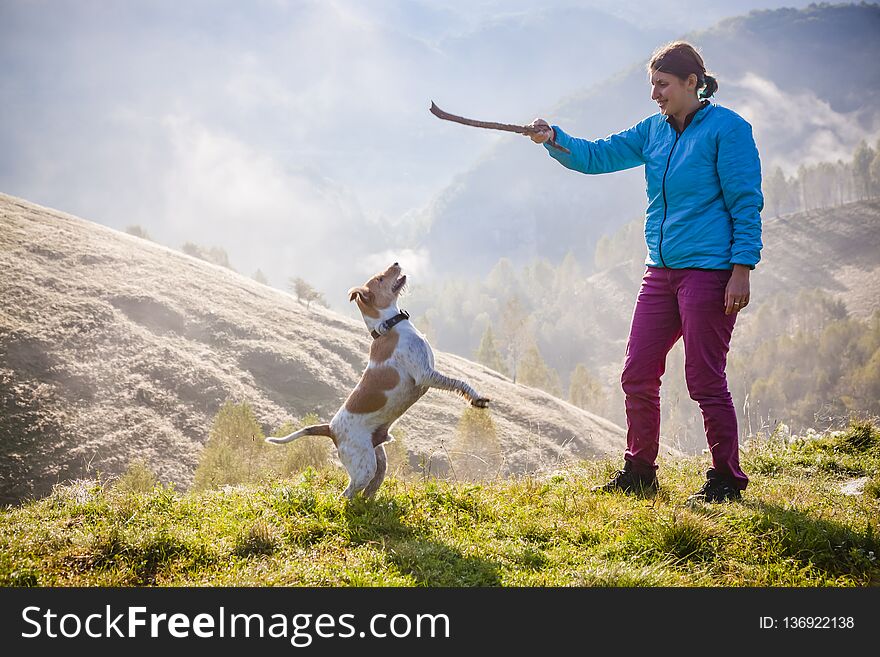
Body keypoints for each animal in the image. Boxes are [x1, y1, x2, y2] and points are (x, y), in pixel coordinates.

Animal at [264, 262, 492, 498]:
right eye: (380, 279)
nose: (396, 263)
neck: (389, 326)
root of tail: (331, 429)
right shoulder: (425, 374)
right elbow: (460, 383)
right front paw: (477, 399)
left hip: (379, 462)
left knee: (368, 492)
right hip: (364, 466)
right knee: (347, 495)